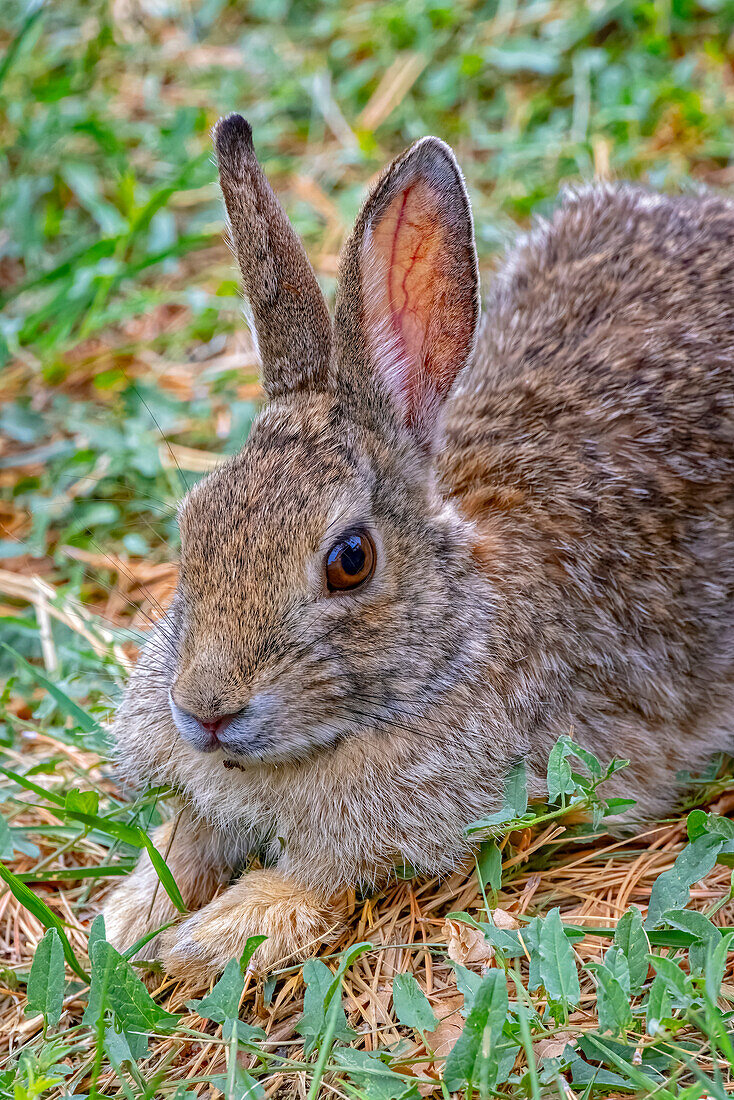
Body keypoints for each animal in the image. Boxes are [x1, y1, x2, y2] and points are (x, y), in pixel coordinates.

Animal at [101, 116, 734, 985]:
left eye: (350, 560)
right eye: (194, 525)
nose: (206, 712)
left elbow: (312, 884)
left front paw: (209, 937)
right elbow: (179, 848)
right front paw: (124, 924)